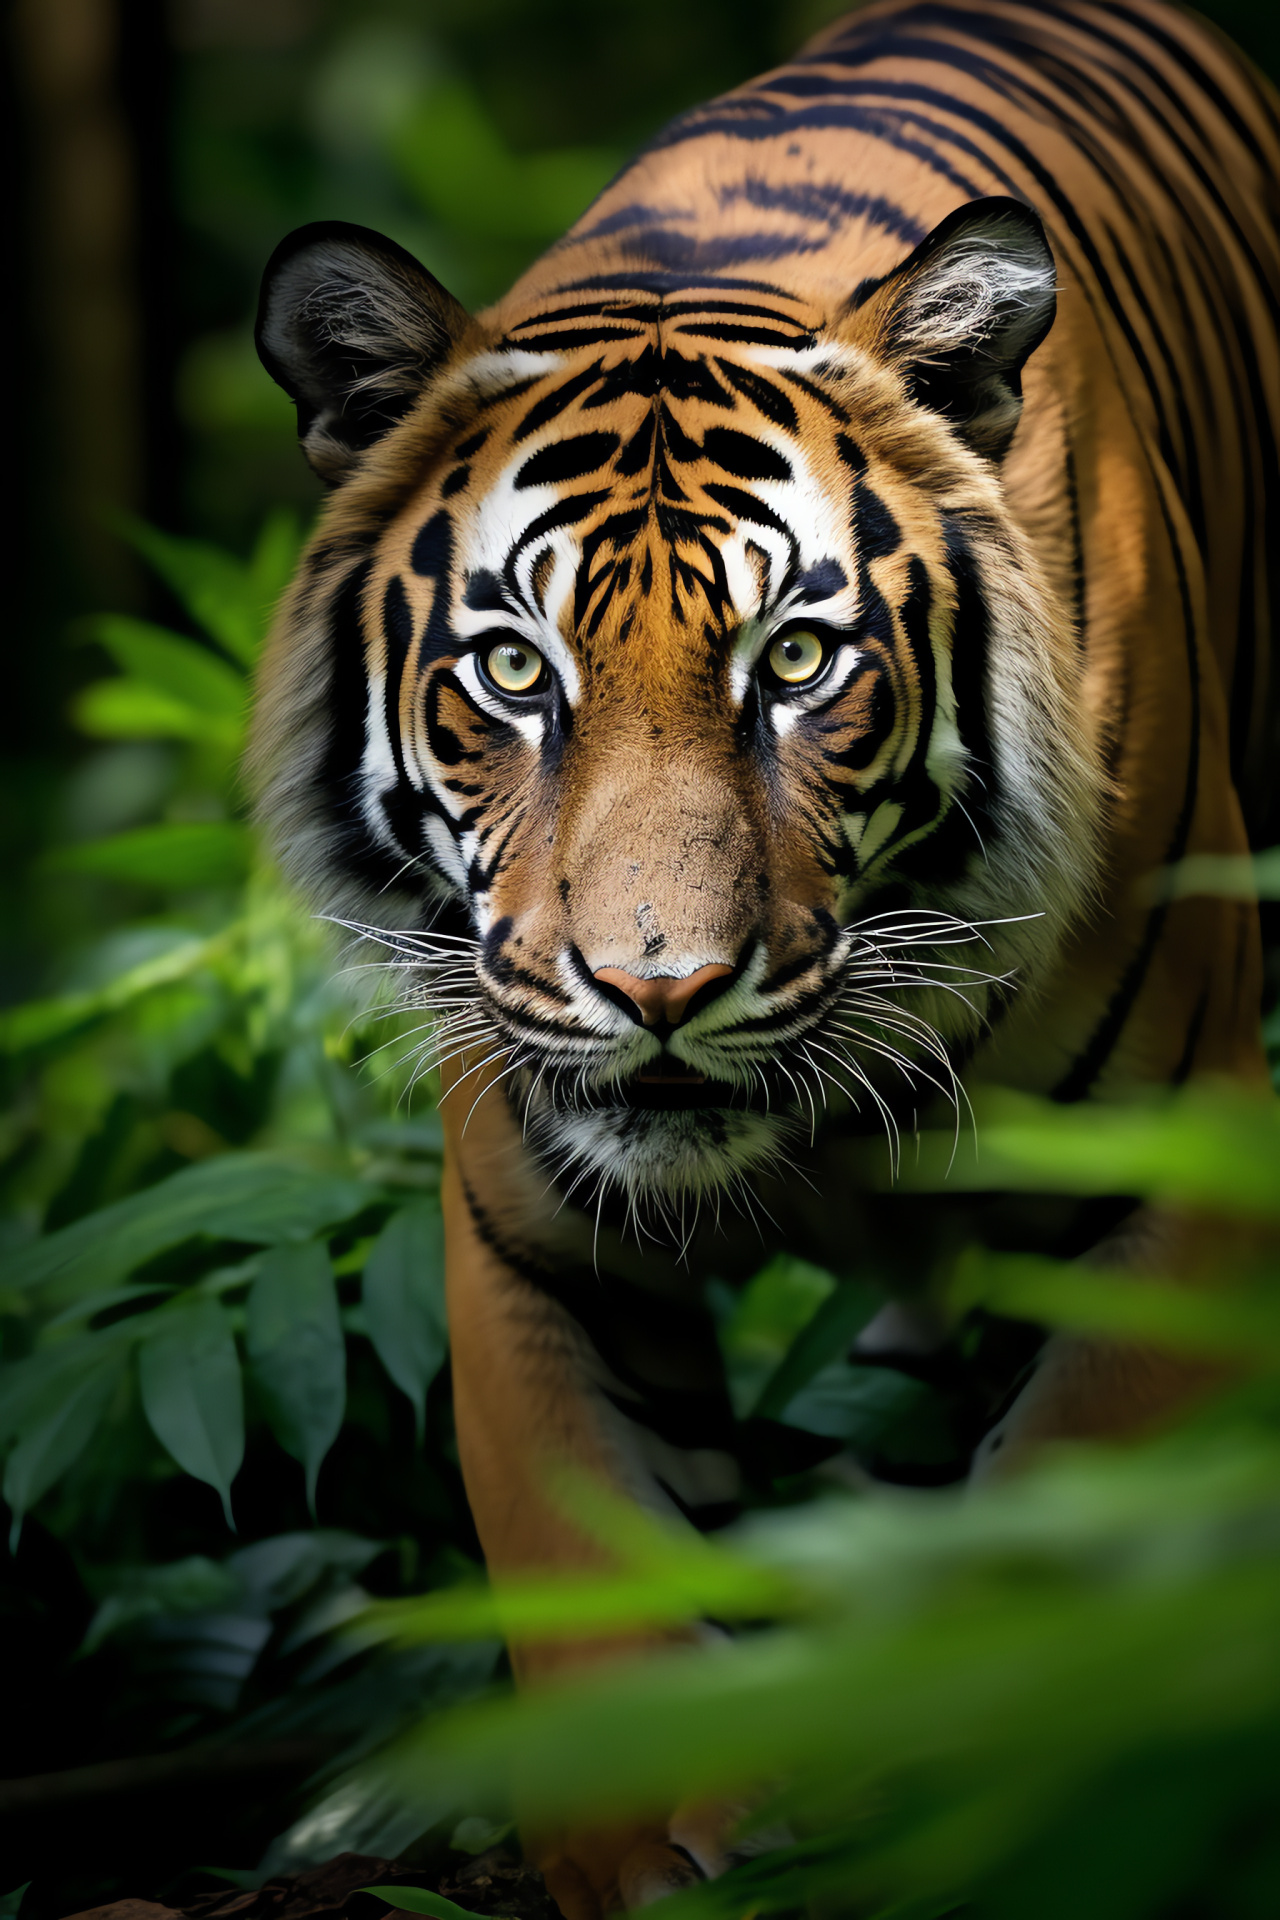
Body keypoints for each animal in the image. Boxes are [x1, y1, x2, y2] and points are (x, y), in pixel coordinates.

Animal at [247, 3, 1280, 1904]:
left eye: (796, 661)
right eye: (515, 671)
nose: (657, 991)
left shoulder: (1174, 1182)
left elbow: (1054, 1539)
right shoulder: (532, 1241)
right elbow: (592, 1567)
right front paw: (664, 1835)